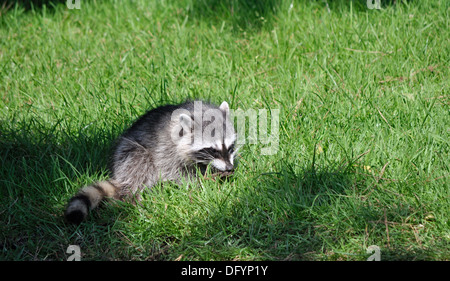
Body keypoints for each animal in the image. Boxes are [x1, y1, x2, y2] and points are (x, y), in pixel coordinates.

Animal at [65, 99, 239, 224]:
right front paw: (200, 181)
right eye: (213, 150)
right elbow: (177, 172)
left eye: (230, 147)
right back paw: (131, 196)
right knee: (139, 164)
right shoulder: (166, 149)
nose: (230, 168)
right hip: (129, 153)